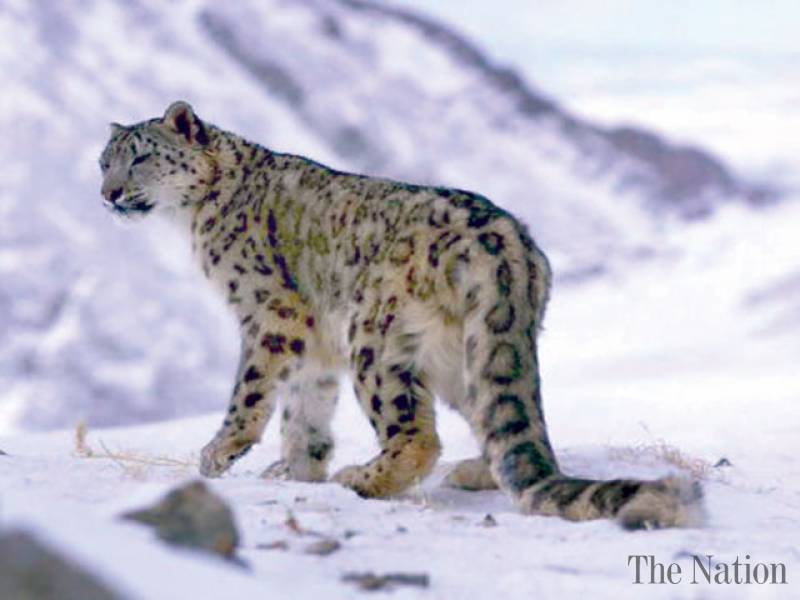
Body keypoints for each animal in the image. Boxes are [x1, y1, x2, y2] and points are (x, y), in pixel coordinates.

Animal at [98, 101, 700, 528]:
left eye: (141, 157)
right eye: (104, 161)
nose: (109, 194)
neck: (195, 218)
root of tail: (507, 246)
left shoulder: (270, 314)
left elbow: (251, 390)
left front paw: (218, 454)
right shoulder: (314, 341)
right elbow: (305, 407)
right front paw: (295, 469)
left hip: (376, 339)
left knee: (417, 436)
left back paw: (362, 478)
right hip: (467, 354)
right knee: (501, 421)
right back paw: (475, 470)